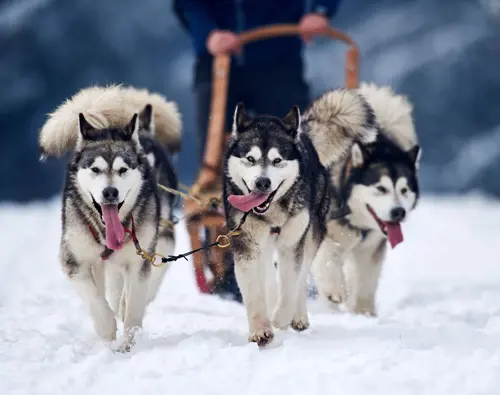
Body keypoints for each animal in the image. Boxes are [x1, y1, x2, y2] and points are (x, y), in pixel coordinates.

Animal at [38, 85, 182, 352]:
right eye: (95, 169)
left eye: (123, 169)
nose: (110, 192)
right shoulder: (74, 260)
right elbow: (95, 298)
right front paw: (106, 329)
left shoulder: (139, 260)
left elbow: (134, 305)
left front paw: (128, 343)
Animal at [222, 103, 332, 346]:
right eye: (250, 158)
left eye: (277, 160)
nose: (262, 182)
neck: (270, 214)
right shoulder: (246, 244)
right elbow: (254, 290)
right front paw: (260, 330)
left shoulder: (293, 244)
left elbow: (291, 284)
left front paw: (280, 317)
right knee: (269, 277)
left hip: (311, 235)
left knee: (300, 278)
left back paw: (297, 316)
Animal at [304, 85, 422, 318]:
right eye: (381, 188)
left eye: (404, 190)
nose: (398, 212)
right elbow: (326, 257)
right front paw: (334, 289)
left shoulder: (370, 249)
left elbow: (365, 282)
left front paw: (363, 314)